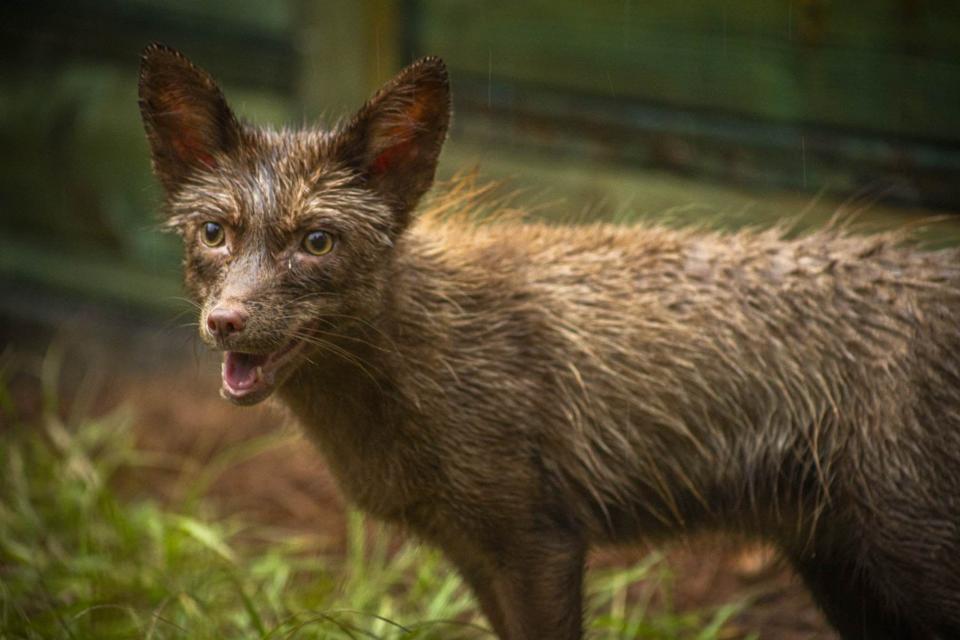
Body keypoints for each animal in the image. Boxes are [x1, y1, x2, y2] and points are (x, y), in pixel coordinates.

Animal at [137, 42, 960, 636]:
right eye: (214, 233)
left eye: (316, 242)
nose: (226, 322)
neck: (431, 360)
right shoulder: (475, 553)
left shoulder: (540, 543)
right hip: (847, 575)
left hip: (909, 562)